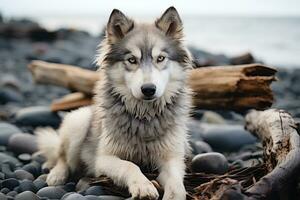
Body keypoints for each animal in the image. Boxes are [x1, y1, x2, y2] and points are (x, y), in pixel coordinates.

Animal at [37, 6, 192, 200]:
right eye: (132, 60)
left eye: (160, 58)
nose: (148, 89)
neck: (144, 117)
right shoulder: (103, 159)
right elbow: (130, 165)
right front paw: (143, 186)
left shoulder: (172, 158)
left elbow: (177, 185)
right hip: (79, 121)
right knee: (63, 158)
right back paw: (57, 175)